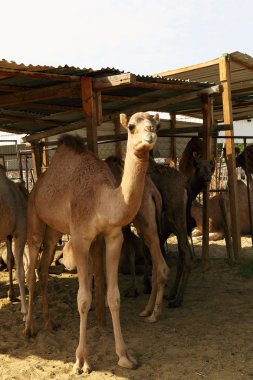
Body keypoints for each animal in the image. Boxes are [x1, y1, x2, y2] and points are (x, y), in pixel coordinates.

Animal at [24, 111, 160, 372]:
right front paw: (81, 361)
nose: (150, 135)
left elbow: (113, 297)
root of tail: (39, 181)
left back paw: (49, 323)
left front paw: (125, 357)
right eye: (131, 126)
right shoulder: (80, 238)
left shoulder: (113, 236)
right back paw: (28, 329)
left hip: (54, 230)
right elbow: (84, 299)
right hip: (35, 216)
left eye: (155, 123)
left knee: (44, 269)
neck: (102, 200)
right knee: (32, 269)